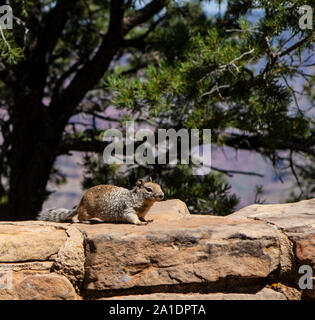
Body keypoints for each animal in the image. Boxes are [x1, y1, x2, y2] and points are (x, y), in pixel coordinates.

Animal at [36, 178, 165, 225]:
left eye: (159, 186)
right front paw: (139, 222)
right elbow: (132, 217)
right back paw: (88, 221)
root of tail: (80, 203)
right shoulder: (127, 209)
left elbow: (143, 217)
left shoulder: (143, 212)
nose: (162, 195)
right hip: (87, 211)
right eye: (149, 189)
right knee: (79, 218)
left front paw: (146, 220)